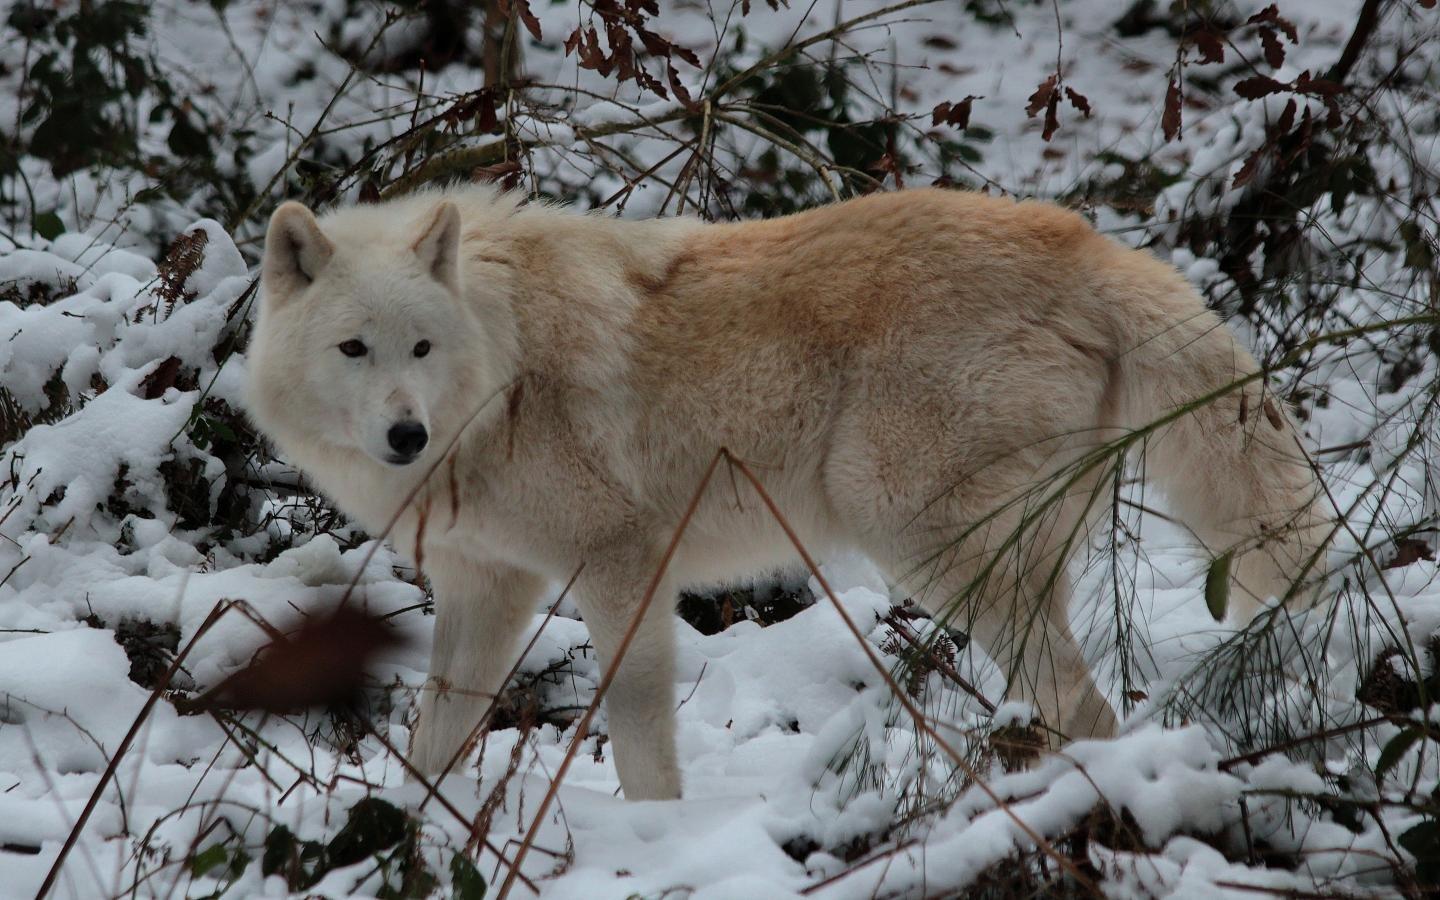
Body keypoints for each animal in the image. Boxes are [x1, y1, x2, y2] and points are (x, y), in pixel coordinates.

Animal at [247, 186, 1324, 800]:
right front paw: (405, 836)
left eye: (421, 348)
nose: (405, 436)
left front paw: (658, 844)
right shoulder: (487, 587)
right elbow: (436, 736)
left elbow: (637, 734)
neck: (500, 368)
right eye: (355, 349)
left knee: (1087, 706)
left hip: (915, 536)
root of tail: (1094, 249)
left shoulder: (621, 563)